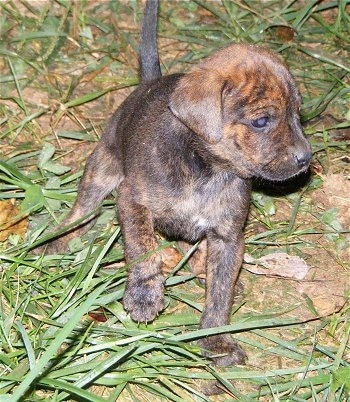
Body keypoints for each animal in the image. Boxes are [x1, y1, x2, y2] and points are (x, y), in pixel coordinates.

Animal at [41, 0, 312, 366]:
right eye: (261, 121)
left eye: (298, 114)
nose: (306, 158)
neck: (207, 169)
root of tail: (149, 82)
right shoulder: (132, 201)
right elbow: (142, 247)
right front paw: (144, 294)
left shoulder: (228, 238)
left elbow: (220, 293)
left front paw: (216, 339)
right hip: (101, 169)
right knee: (82, 210)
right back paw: (57, 242)